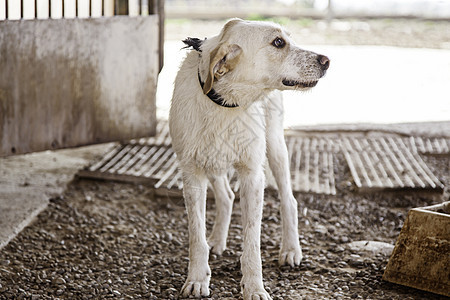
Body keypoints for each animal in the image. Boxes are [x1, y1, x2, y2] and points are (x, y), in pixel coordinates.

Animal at [170, 19, 330, 300]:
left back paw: (291, 249)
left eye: (288, 38)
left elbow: (252, 242)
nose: (327, 60)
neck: (225, 103)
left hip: (275, 146)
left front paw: (254, 287)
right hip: (212, 159)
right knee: (226, 196)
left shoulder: (253, 175)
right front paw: (197, 278)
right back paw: (217, 240)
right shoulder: (192, 174)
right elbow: (196, 236)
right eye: (278, 42)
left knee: (289, 200)